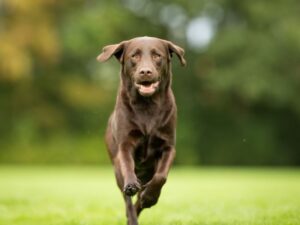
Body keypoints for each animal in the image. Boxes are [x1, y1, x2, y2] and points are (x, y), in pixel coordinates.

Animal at [96, 36, 185, 224]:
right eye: (134, 56)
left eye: (157, 55)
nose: (145, 72)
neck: (147, 106)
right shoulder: (125, 145)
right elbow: (128, 166)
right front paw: (132, 185)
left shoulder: (168, 147)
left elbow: (161, 176)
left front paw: (149, 197)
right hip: (117, 171)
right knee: (128, 203)